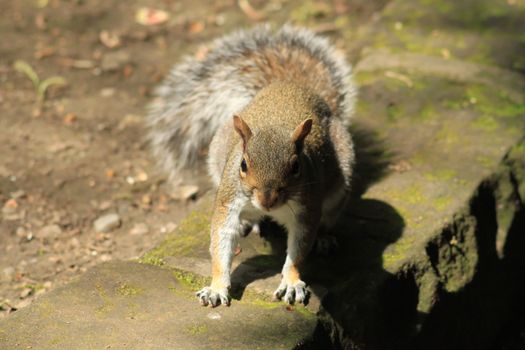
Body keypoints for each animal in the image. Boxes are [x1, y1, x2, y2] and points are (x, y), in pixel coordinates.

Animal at [146, 25, 356, 306]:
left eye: (296, 167)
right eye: (243, 164)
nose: (266, 200)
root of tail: (290, 86)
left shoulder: (307, 208)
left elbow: (299, 249)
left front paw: (291, 282)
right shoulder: (228, 199)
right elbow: (221, 241)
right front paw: (216, 287)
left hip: (339, 181)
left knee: (330, 215)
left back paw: (324, 238)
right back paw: (249, 222)